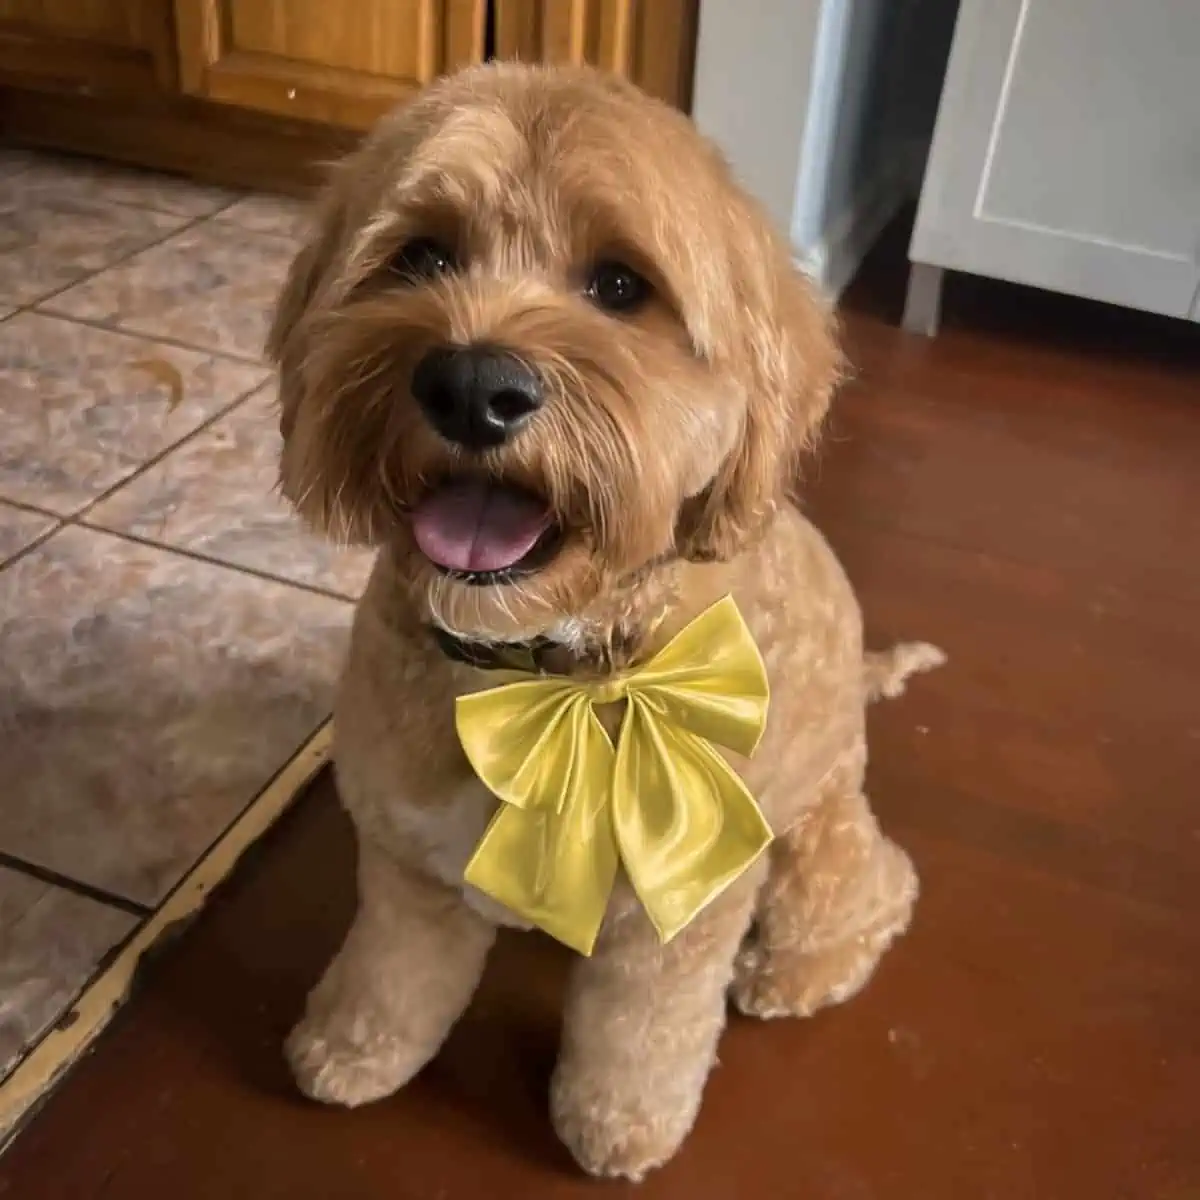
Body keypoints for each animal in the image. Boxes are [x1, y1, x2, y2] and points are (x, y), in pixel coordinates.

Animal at [267, 60, 940, 1176]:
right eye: (422, 255)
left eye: (621, 286)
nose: (472, 386)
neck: (549, 675)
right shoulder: (408, 863)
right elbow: (390, 973)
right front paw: (349, 1051)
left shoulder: (682, 912)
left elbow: (640, 1034)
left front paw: (619, 1127)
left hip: (810, 841)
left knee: (879, 890)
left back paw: (793, 975)